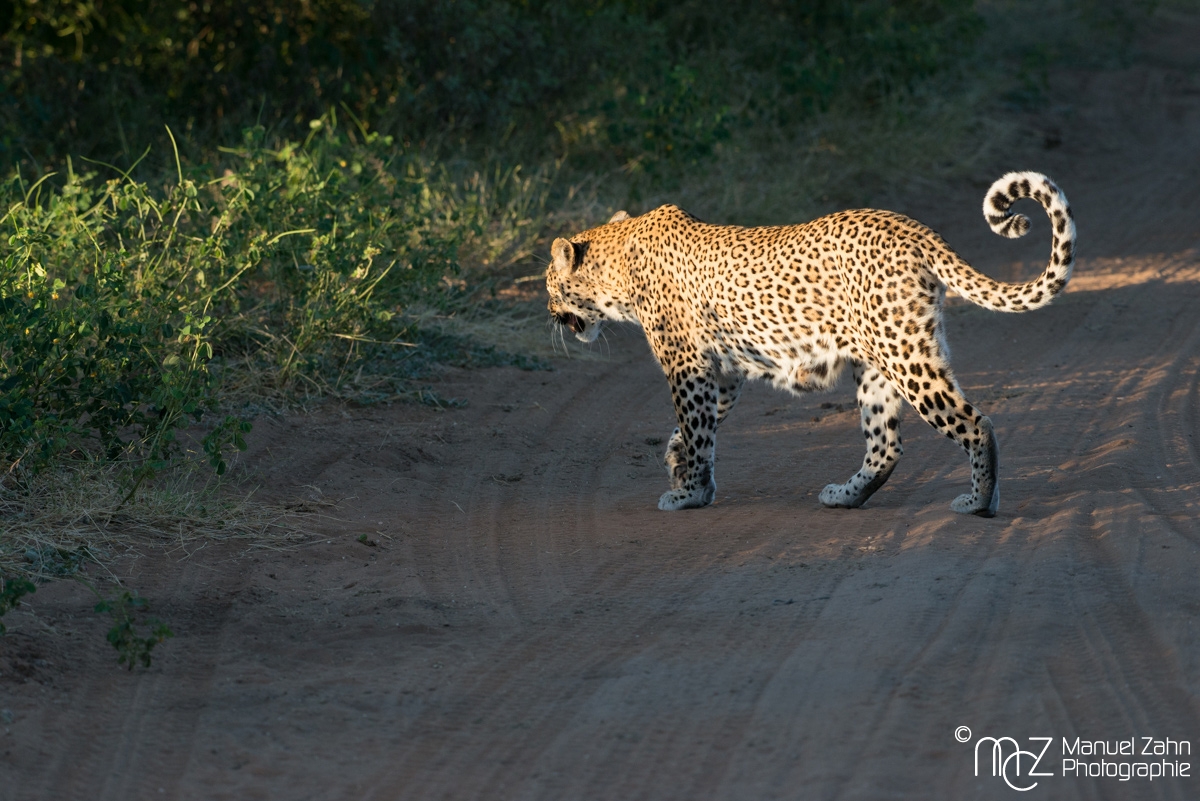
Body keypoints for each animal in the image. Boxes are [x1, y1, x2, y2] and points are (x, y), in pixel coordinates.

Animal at [546, 172, 1076, 517]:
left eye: (550, 284)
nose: (550, 313)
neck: (616, 268)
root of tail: (913, 228)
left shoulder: (688, 366)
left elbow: (696, 427)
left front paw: (687, 493)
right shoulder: (724, 372)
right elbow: (698, 430)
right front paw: (683, 469)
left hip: (905, 355)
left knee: (973, 422)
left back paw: (979, 502)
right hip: (878, 362)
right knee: (886, 445)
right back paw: (845, 495)